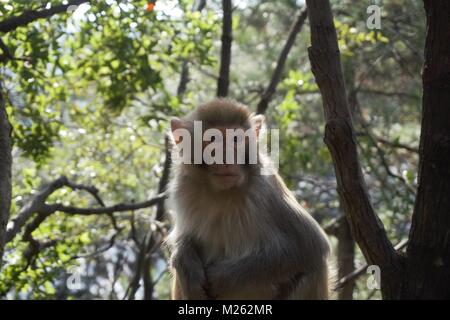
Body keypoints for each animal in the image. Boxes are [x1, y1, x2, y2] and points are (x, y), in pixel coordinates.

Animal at [166, 98, 330, 300]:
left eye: (236, 139)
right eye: (213, 139)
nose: (227, 157)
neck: (223, 192)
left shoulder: (267, 190)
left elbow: (310, 245)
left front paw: (223, 278)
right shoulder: (183, 189)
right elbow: (185, 237)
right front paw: (185, 260)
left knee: (314, 266)